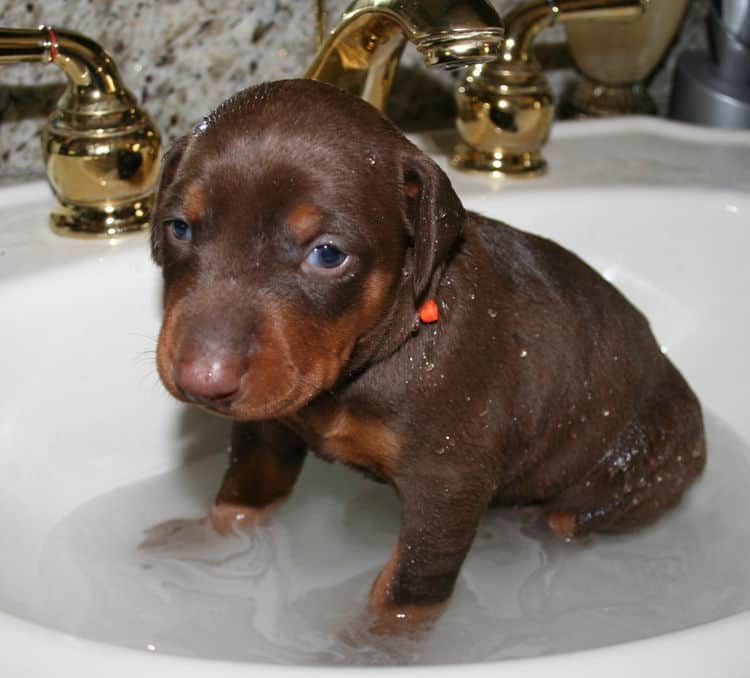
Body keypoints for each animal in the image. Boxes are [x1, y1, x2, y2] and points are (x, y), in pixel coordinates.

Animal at [151, 78, 704, 632]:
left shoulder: (447, 484)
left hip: (633, 470)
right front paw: (205, 543)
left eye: (328, 254)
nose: (201, 382)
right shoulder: (269, 423)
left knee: (568, 518)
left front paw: (371, 643)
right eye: (179, 227)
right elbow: (244, 493)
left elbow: (408, 592)